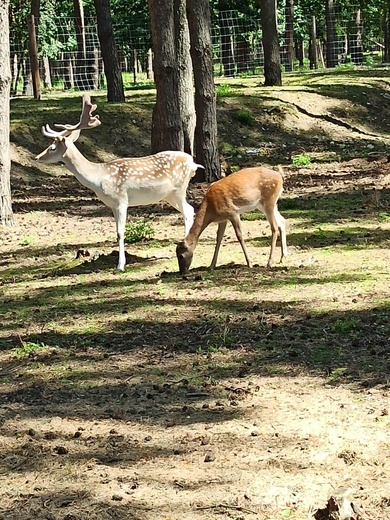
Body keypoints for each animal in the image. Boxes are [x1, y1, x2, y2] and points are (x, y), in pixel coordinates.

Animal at [35, 95, 203, 270]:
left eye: (52, 147)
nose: (37, 157)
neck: (99, 178)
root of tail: (193, 163)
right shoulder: (112, 205)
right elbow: (116, 232)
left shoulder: (121, 199)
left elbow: (120, 233)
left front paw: (120, 265)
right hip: (169, 195)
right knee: (189, 209)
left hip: (179, 189)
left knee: (187, 211)